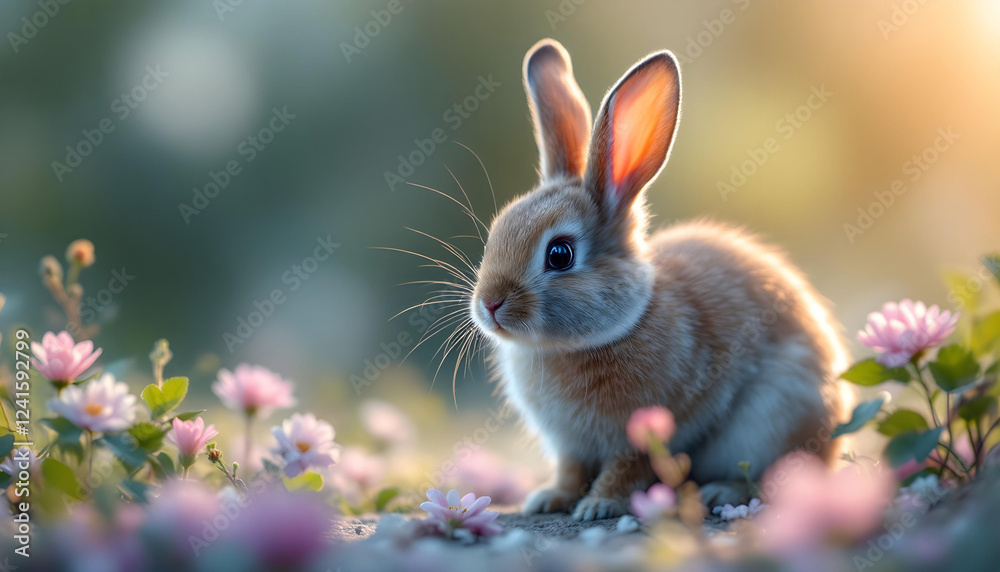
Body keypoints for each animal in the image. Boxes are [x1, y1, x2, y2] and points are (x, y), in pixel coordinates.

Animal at [467, 38, 852, 521]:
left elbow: (626, 468)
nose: (490, 304)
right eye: (497, 230)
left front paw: (598, 506)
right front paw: (548, 499)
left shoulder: (652, 427)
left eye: (559, 255)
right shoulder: (570, 445)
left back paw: (720, 493)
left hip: (775, 419)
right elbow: (570, 470)